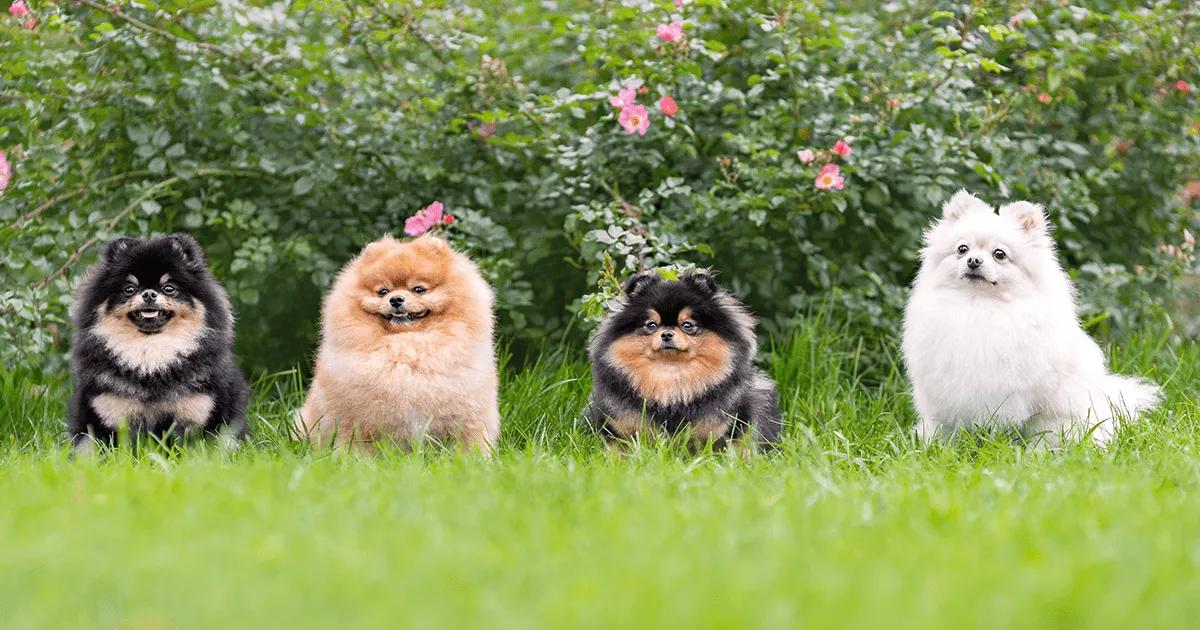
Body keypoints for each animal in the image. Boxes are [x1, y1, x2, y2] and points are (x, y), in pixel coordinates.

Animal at [68, 234, 250, 446]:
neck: (152, 356)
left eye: (169, 288)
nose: (148, 294)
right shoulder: (110, 413)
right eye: (129, 289)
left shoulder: (192, 413)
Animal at [297, 234, 499, 451]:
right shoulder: (355, 423)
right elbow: (357, 448)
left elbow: (469, 444)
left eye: (418, 289)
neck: (405, 348)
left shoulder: (469, 417)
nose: (396, 299)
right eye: (383, 291)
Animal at [902, 189, 1156, 444]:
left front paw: (1036, 450)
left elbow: (1041, 428)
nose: (973, 261)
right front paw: (939, 446)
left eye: (999, 254)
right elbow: (947, 429)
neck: (979, 305)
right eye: (962, 249)